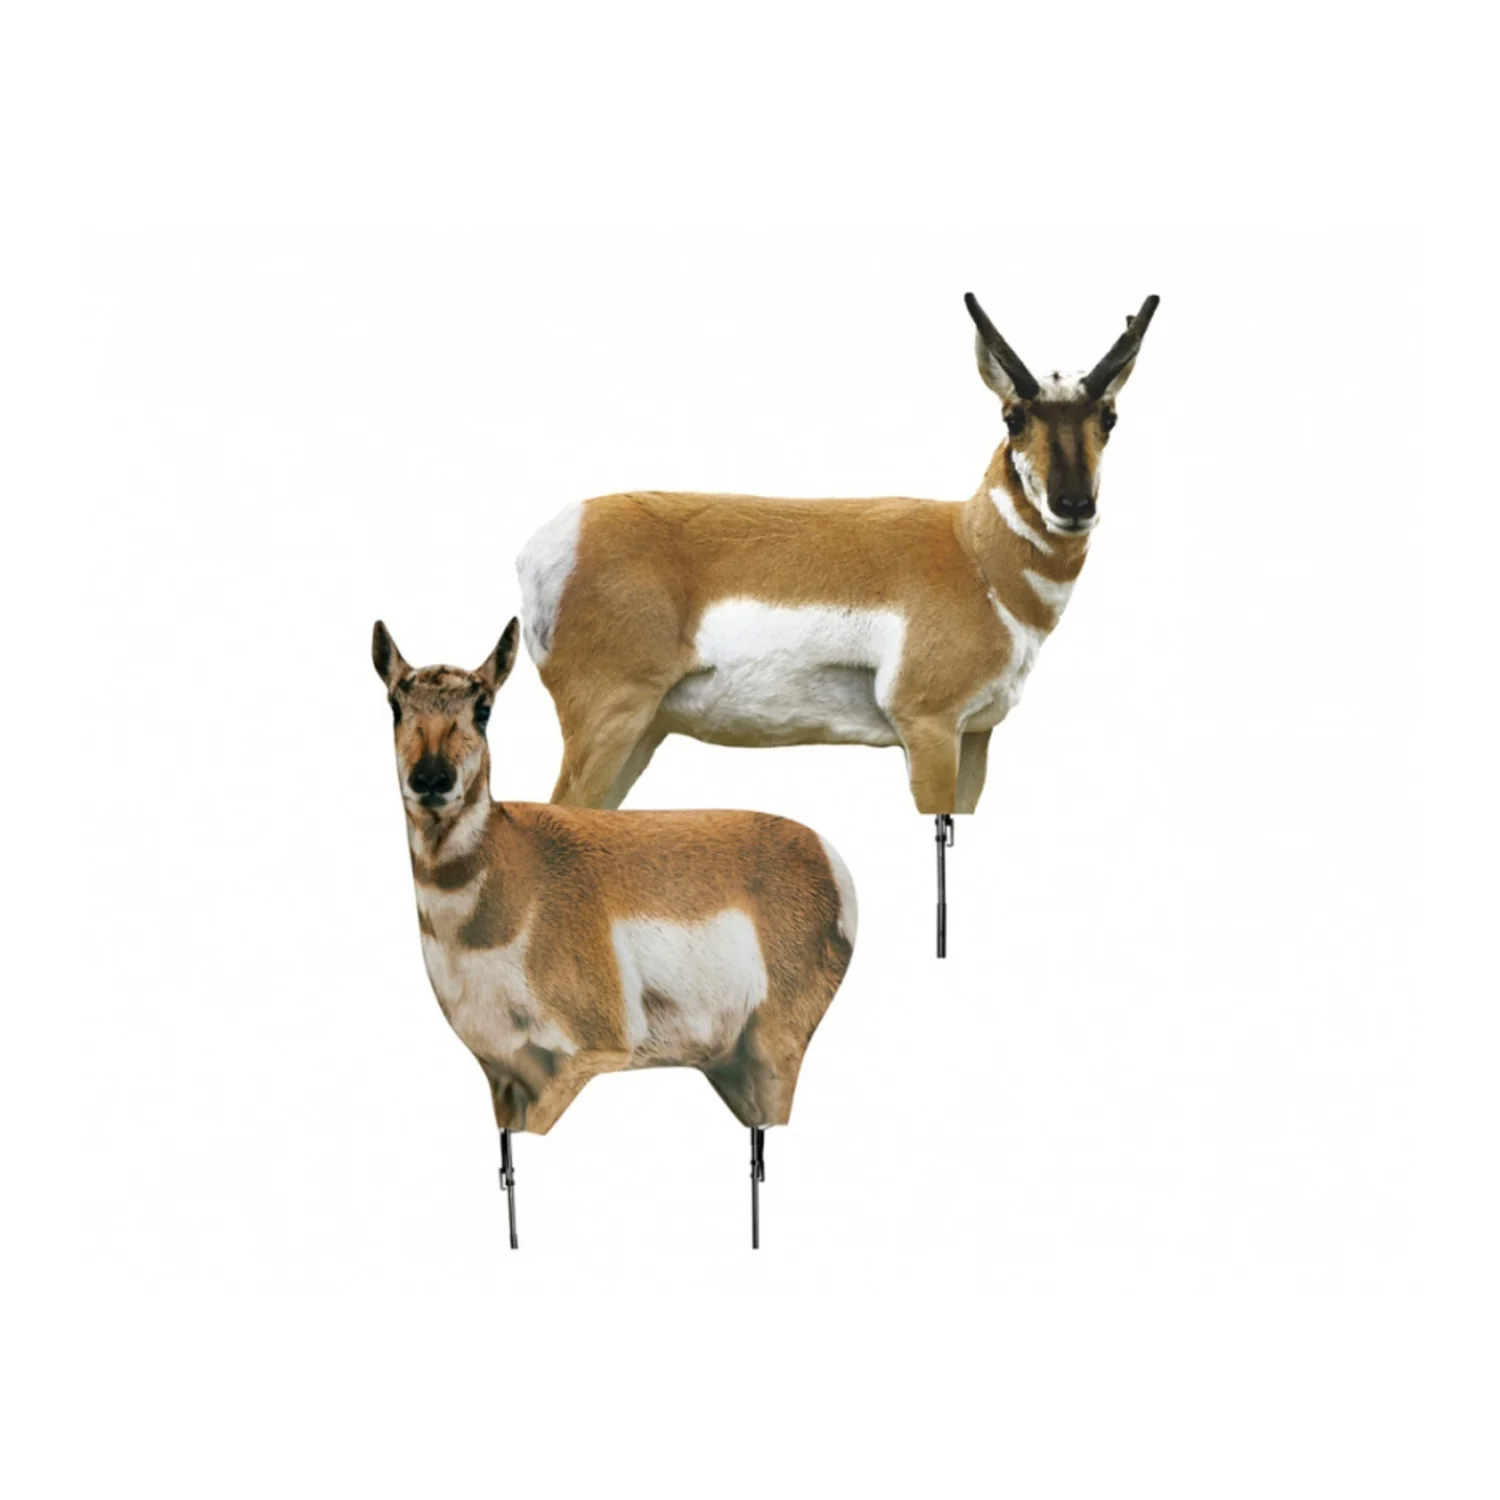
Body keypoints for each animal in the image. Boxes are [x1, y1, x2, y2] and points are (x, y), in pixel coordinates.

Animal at [372, 618, 857, 1248]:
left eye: (483, 708)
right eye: (394, 705)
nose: (432, 778)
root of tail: (824, 853)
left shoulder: (592, 1050)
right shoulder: (501, 1073)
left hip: (776, 1050)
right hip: (734, 1064)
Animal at [516, 292, 1158, 952]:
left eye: (1108, 416)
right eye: (1014, 417)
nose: (1073, 506)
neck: (971, 549)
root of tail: (554, 536)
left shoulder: (976, 735)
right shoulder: (927, 727)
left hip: (643, 732)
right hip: (610, 720)